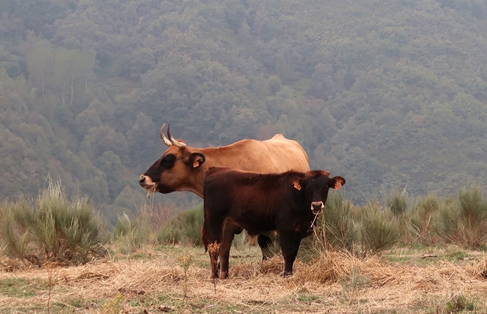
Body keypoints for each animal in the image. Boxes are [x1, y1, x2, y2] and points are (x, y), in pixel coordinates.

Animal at [204, 166, 346, 278]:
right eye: (307, 188)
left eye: (325, 187)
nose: (316, 205)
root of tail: (216, 169)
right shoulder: (285, 228)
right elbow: (288, 252)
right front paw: (286, 274)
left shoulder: (298, 232)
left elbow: (294, 253)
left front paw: (290, 273)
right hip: (214, 221)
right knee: (213, 247)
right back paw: (214, 275)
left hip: (229, 224)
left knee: (224, 248)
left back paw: (224, 275)